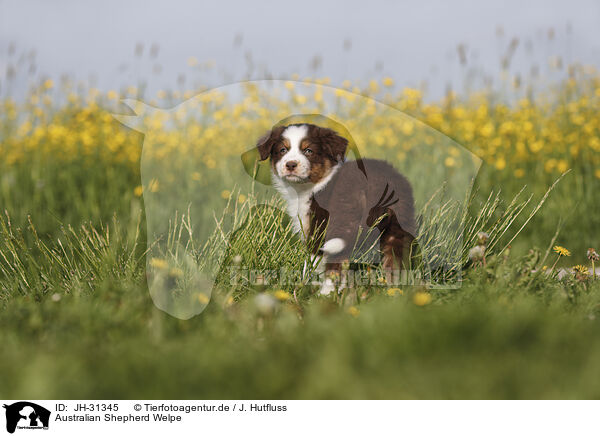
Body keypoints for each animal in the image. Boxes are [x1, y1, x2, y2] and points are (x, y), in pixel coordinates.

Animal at [258, 121, 418, 294]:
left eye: (308, 151)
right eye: (283, 150)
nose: (291, 164)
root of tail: (378, 185)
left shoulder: (316, 227)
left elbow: (313, 260)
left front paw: (305, 284)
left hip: (342, 219)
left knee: (337, 262)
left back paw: (326, 293)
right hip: (399, 223)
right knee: (395, 259)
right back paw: (394, 291)